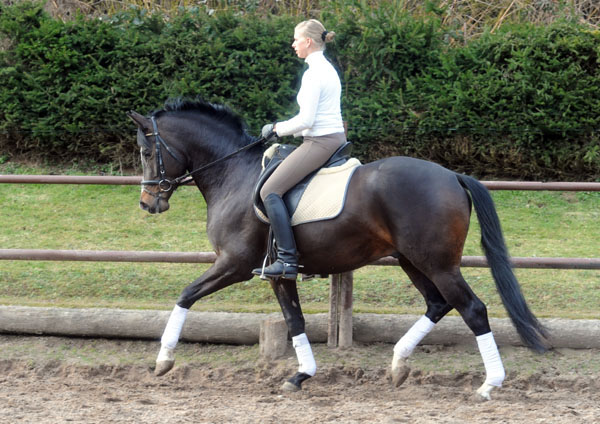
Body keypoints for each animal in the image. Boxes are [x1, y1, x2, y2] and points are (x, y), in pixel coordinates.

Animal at [129, 97, 552, 400]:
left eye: (148, 153)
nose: (148, 203)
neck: (234, 174)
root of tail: (452, 175)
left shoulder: (234, 263)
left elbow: (186, 295)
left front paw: (163, 360)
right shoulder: (278, 275)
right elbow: (295, 321)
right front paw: (300, 375)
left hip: (437, 263)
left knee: (473, 309)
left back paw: (489, 385)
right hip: (412, 261)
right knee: (437, 304)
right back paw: (398, 365)